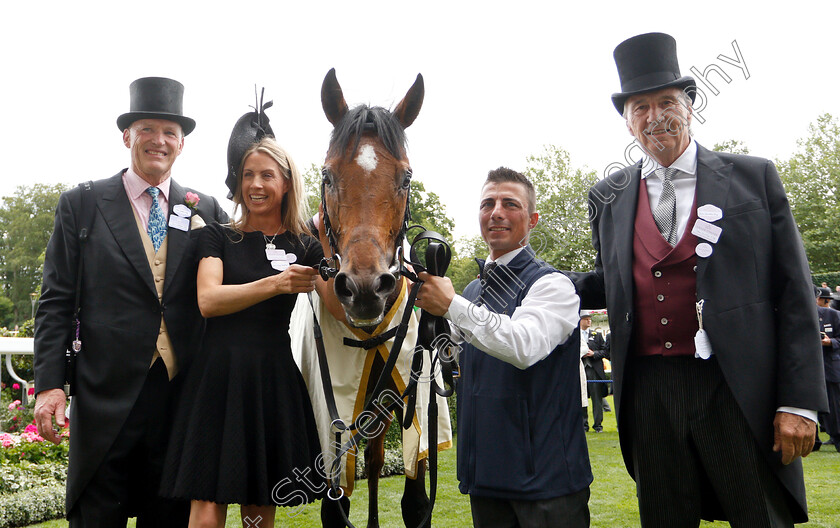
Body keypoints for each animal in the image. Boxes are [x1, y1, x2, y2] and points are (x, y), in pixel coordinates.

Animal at [296, 69, 452, 528]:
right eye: (327, 175)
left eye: (406, 177)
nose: (365, 288)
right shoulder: (331, 429)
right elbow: (337, 505)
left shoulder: (413, 408)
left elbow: (415, 502)